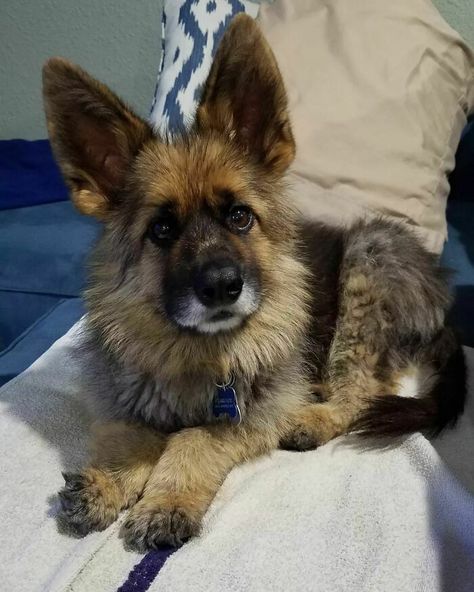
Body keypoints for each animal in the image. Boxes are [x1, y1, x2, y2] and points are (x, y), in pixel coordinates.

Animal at [43, 15, 466, 552]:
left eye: (240, 217)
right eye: (161, 229)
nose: (222, 287)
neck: (197, 351)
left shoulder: (252, 412)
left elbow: (192, 439)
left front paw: (165, 501)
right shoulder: (125, 403)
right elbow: (133, 438)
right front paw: (106, 484)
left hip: (369, 263)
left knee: (362, 388)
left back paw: (314, 418)